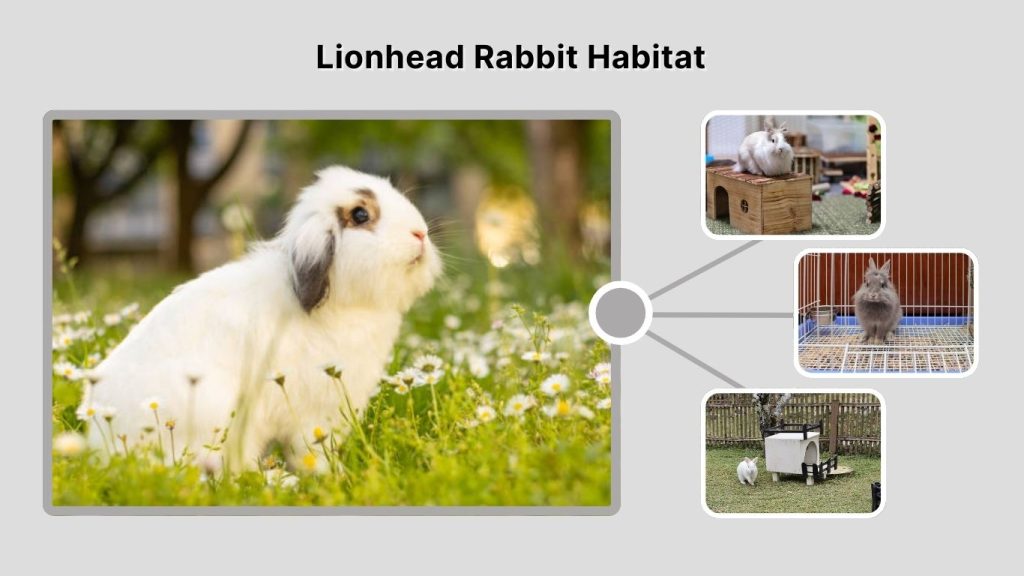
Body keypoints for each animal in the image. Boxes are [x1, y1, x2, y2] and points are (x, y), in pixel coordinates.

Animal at [79, 166, 442, 470]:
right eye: (361, 214)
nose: (420, 233)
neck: (343, 303)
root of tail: (105, 445)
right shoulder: (313, 412)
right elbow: (312, 451)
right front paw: (333, 476)